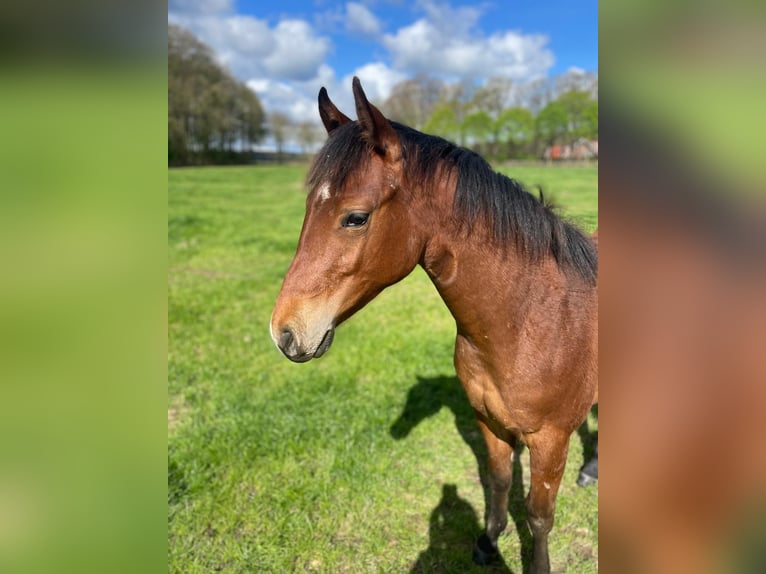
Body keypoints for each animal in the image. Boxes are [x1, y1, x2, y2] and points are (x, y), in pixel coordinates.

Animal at [270, 78, 598, 574]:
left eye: (356, 217)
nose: (284, 332)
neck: (531, 321)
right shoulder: (489, 421)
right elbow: (498, 482)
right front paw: (488, 541)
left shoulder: (550, 441)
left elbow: (540, 516)